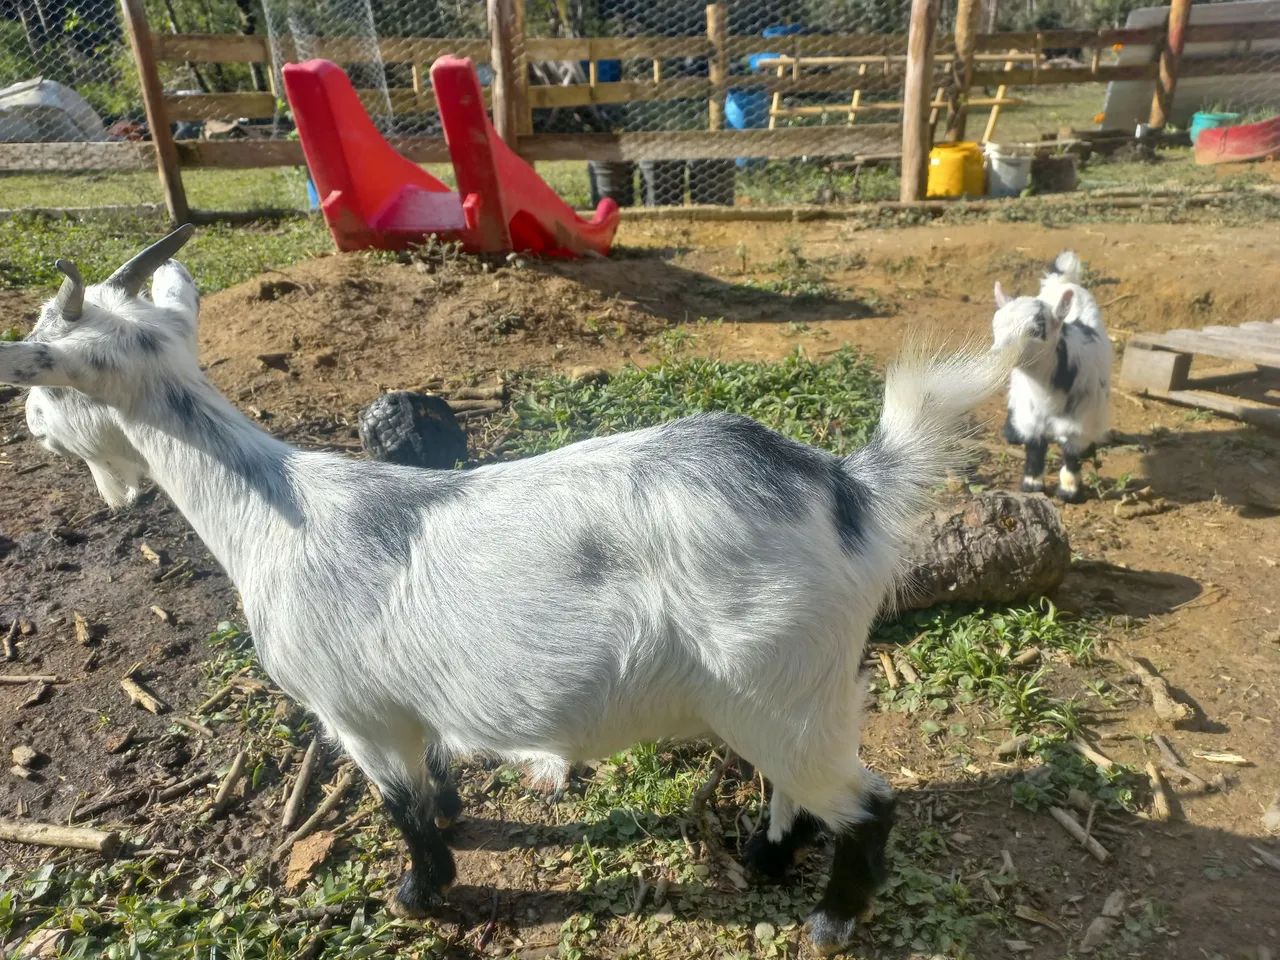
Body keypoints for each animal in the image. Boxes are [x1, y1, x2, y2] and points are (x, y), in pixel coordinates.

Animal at [2, 227, 1018, 955]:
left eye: (48, 360)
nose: (31, 420)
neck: (272, 514)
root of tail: (847, 486)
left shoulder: (354, 713)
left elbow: (399, 807)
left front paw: (421, 891)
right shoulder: (411, 704)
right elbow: (436, 776)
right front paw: (456, 819)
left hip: (776, 682)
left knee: (867, 801)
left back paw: (831, 918)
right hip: (793, 690)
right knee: (796, 786)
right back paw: (765, 860)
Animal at [992, 251, 1112, 503]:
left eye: (1036, 331)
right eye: (995, 325)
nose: (998, 355)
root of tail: (1065, 282)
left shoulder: (1079, 424)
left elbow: (1071, 456)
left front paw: (1069, 491)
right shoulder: (1031, 419)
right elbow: (1034, 449)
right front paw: (1031, 485)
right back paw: (1010, 433)